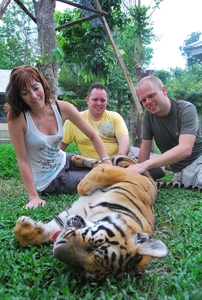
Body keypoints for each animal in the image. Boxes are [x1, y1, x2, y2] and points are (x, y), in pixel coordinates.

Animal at [14, 155, 168, 282]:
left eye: (82, 270)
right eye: (95, 246)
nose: (57, 251)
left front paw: (26, 227)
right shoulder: (132, 176)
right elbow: (96, 177)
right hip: (122, 160)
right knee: (103, 163)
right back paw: (78, 160)